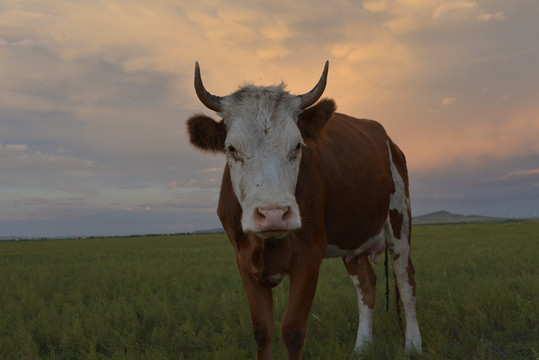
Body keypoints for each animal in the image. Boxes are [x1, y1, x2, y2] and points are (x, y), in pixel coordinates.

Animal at [188, 60, 424, 358]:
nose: (273, 215)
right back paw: (361, 348)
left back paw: (413, 345)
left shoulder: (309, 257)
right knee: (366, 283)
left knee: (406, 280)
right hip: (352, 237)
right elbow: (262, 330)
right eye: (231, 148)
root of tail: (389, 140)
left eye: (298, 146)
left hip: (399, 219)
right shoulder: (244, 261)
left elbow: (292, 330)